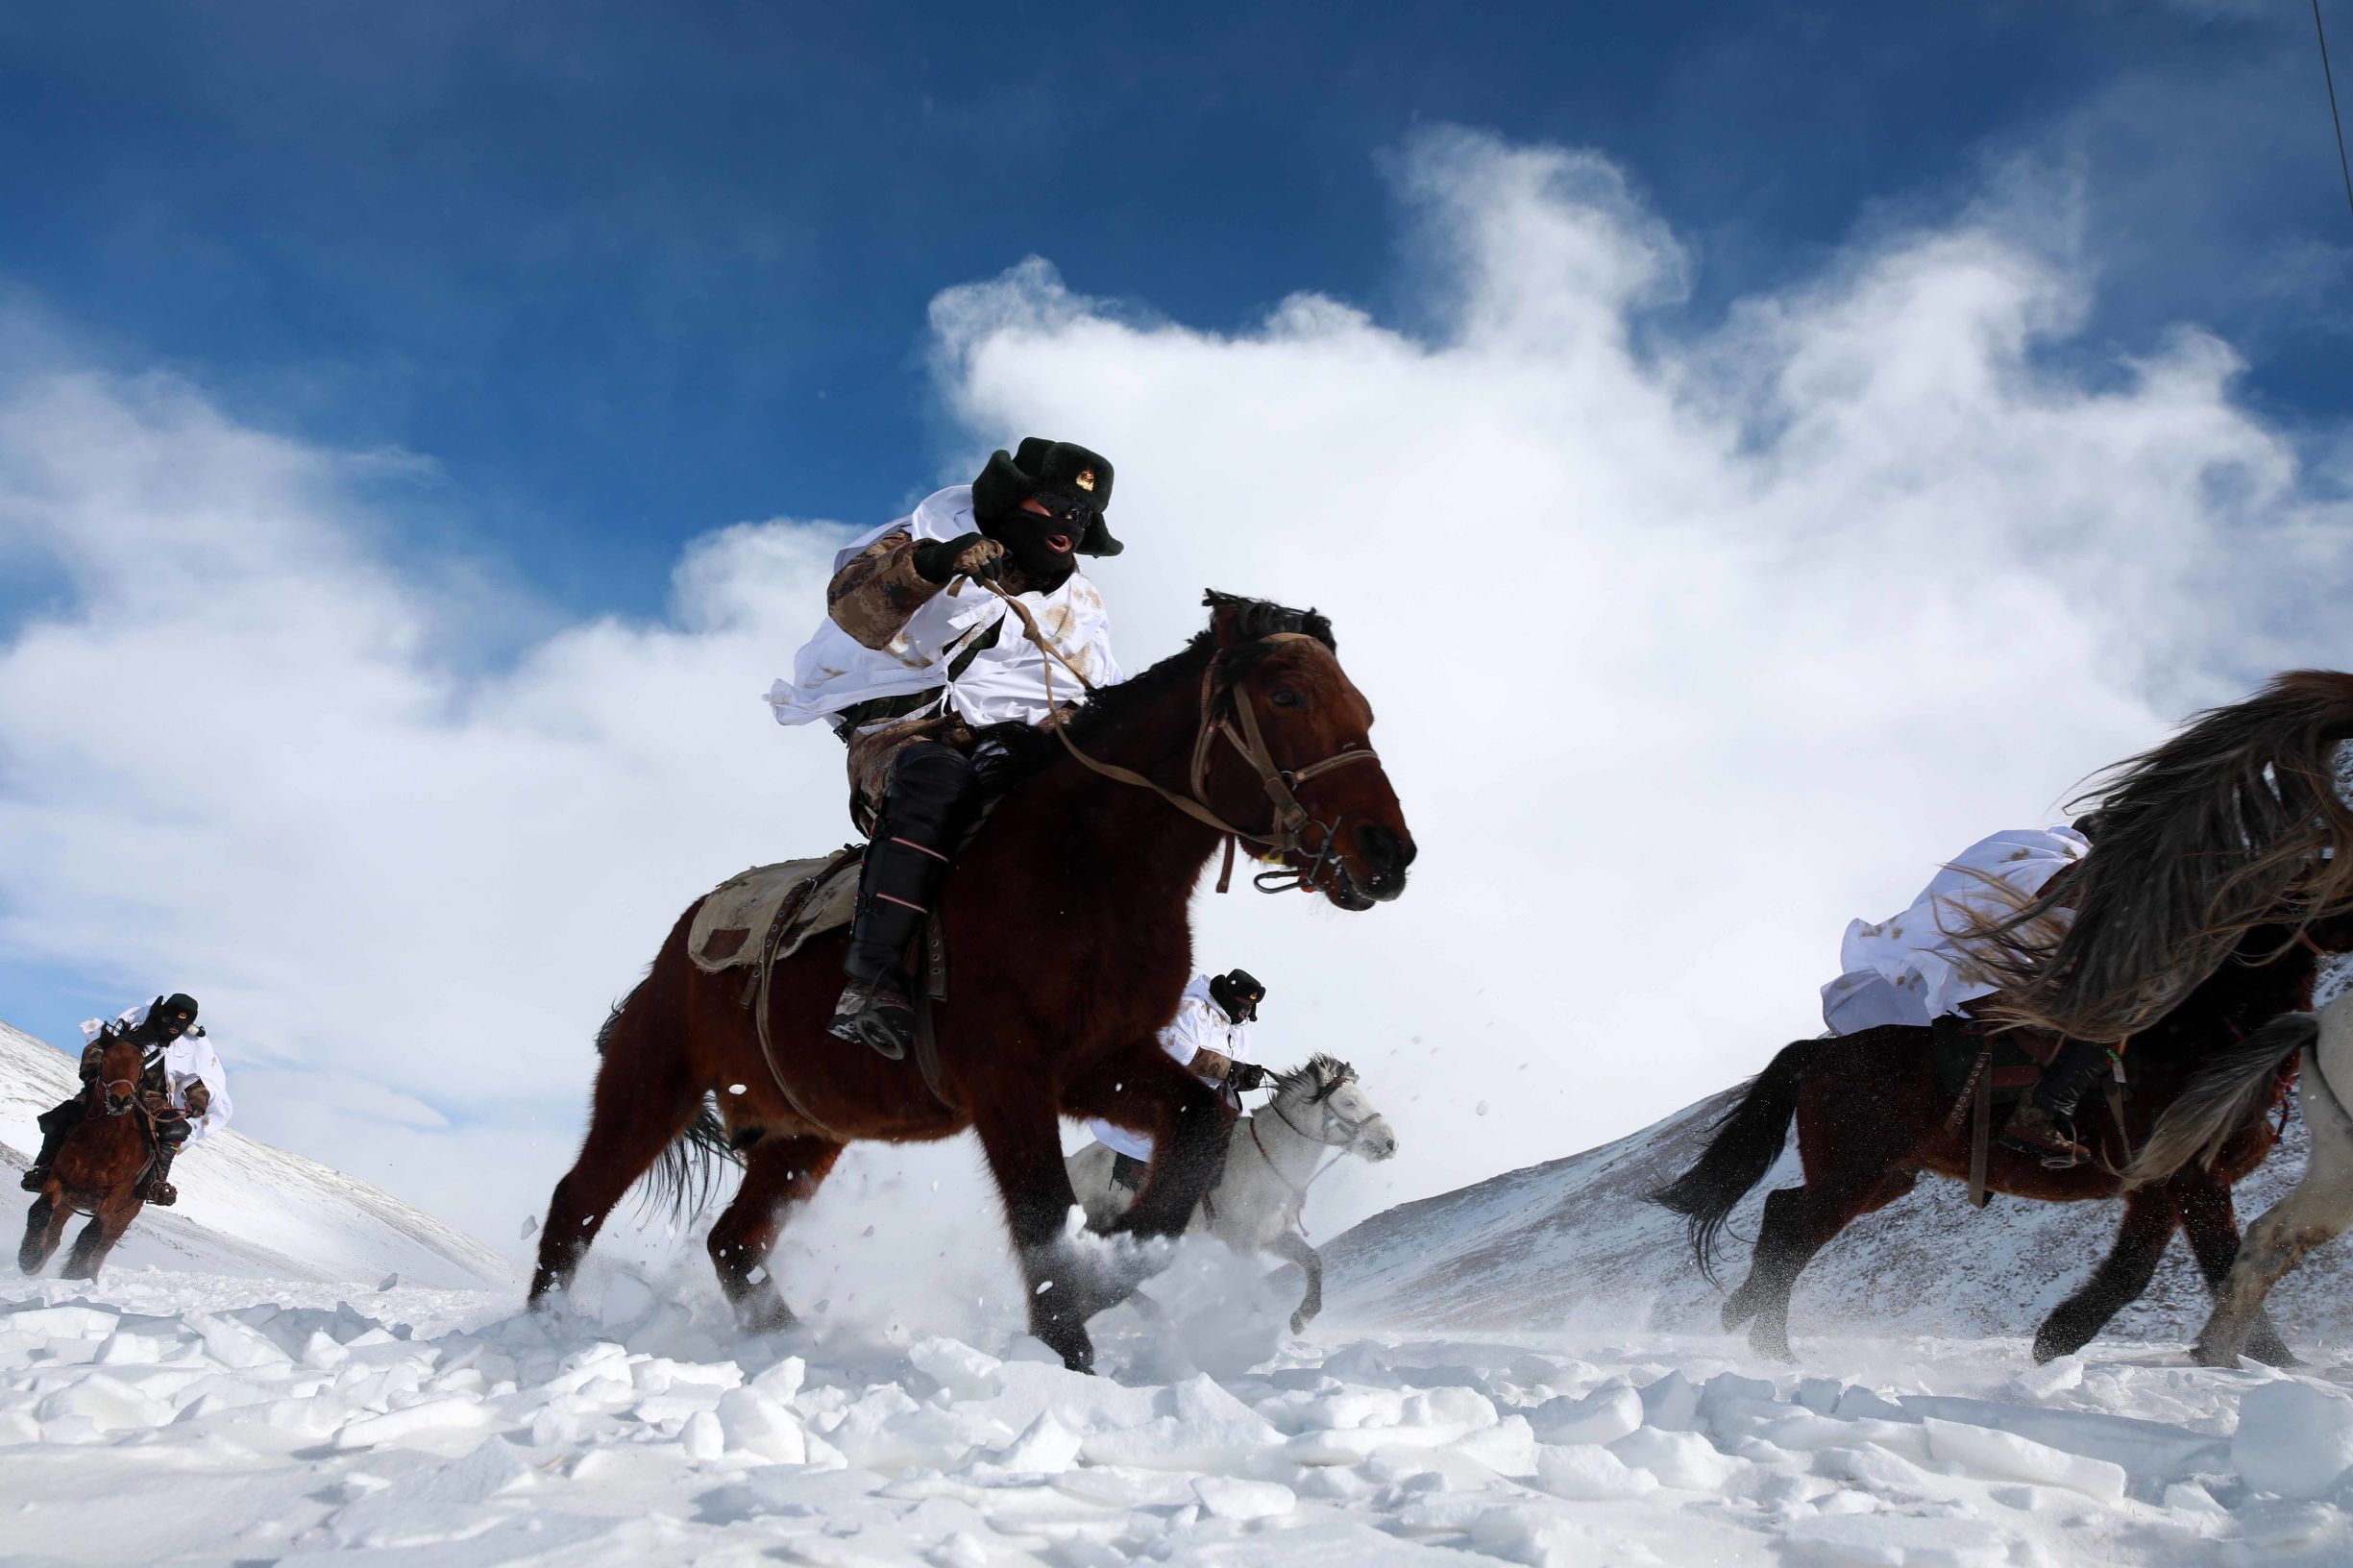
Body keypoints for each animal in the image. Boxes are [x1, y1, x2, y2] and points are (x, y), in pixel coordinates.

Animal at [16, 1031, 159, 1281]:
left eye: (141, 1065)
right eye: (104, 1061)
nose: (119, 1100)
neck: (103, 1139)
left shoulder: (116, 1193)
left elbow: (91, 1234)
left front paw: (74, 1274)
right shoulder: (59, 1176)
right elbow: (40, 1210)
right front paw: (29, 1258)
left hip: (124, 1215)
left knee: (103, 1246)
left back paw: (88, 1273)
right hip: (69, 1201)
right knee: (54, 1236)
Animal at [1067, 1054, 1392, 1328]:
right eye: (1349, 1103)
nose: (1390, 1143)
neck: (1267, 1156)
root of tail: (1070, 1165)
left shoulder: (1272, 1235)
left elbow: (1313, 1261)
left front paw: (1302, 1318)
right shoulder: (1241, 1243)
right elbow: (1252, 1287)